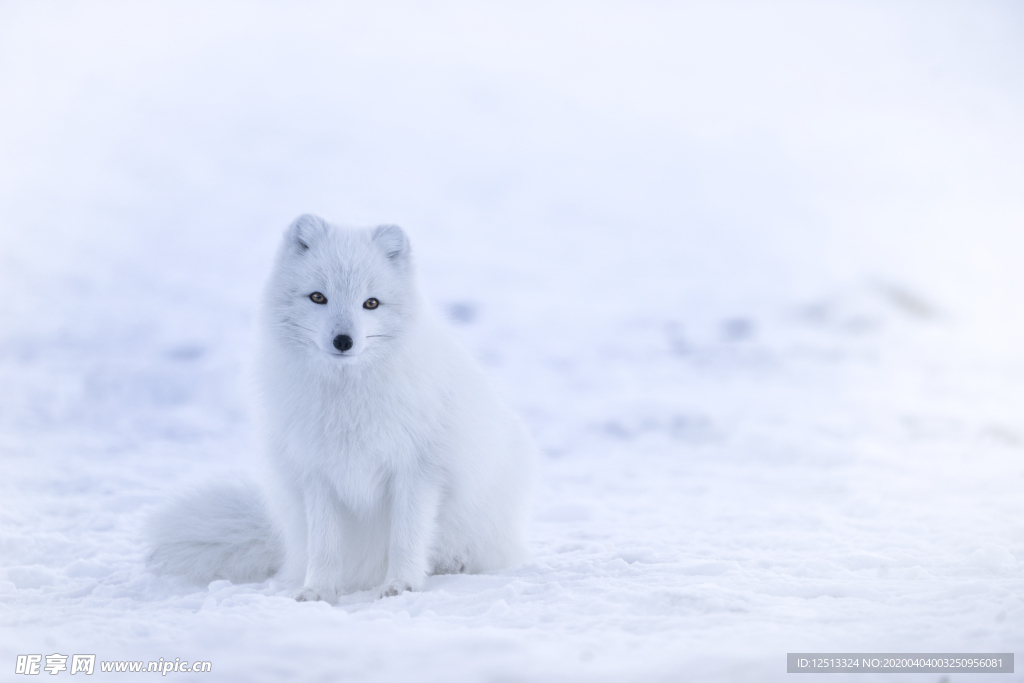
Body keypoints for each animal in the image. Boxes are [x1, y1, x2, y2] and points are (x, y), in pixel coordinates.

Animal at [153, 216, 536, 602]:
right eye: (318, 297)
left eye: (371, 303)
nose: (343, 341)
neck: (347, 399)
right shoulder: (317, 474)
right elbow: (325, 545)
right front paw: (318, 590)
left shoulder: (418, 471)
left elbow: (406, 538)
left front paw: (401, 585)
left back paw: (451, 564)